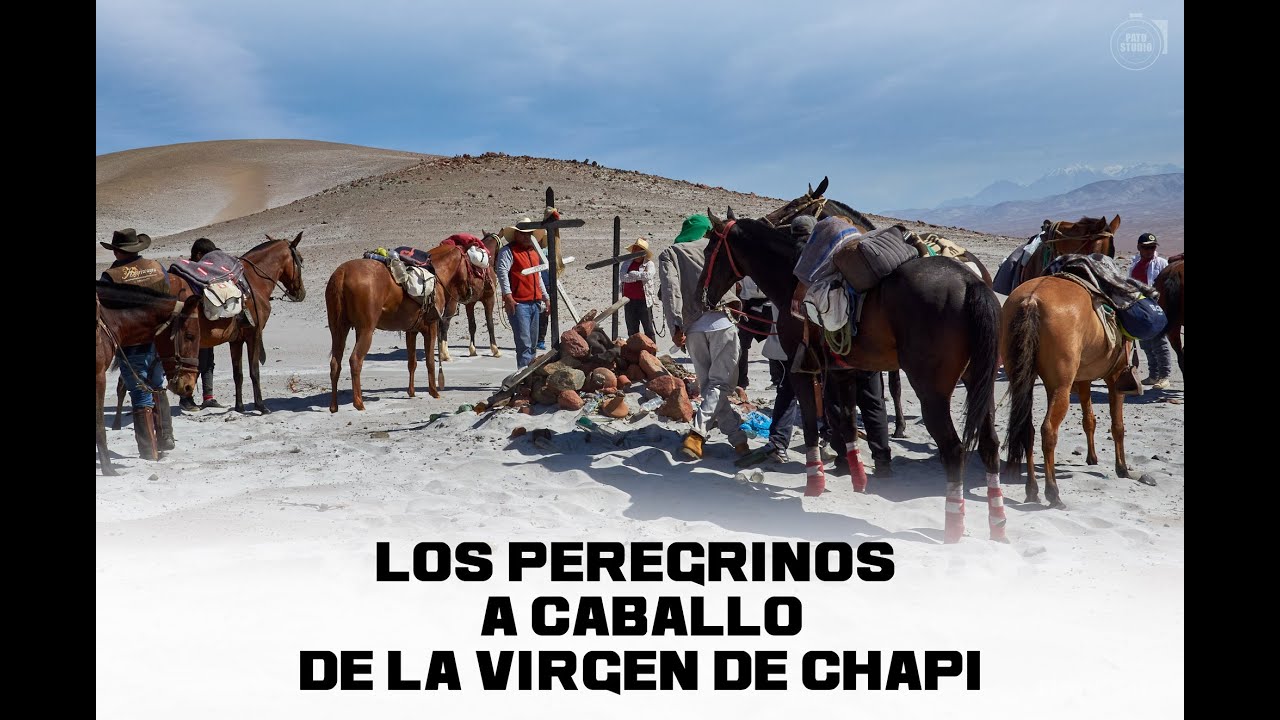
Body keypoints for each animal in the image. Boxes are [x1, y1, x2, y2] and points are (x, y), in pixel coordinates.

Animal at [325, 241, 471, 411]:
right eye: (470, 264)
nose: (469, 291)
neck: (436, 275)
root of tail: (342, 274)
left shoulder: (411, 331)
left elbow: (412, 363)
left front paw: (411, 392)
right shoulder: (432, 327)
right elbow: (429, 362)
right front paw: (434, 392)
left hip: (338, 329)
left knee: (335, 364)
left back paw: (334, 406)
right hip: (366, 330)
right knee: (355, 360)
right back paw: (359, 403)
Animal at [438, 231, 502, 361]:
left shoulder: (470, 303)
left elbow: (472, 325)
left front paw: (473, 350)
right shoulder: (489, 299)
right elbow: (490, 324)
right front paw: (495, 349)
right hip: (452, 301)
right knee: (444, 322)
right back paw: (445, 354)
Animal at [699, 210, 1005, 543]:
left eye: (708, 250)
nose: (703, 295)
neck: (791, 278)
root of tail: (970, 282)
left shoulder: (801, 369)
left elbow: (810, 423)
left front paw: (815, 482)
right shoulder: (842, 371)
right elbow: (845, 421)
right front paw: (857, 477)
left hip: (931, 391)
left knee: (953, 451)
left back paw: (954, 527)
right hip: (979, 384)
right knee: (989, 446)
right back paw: (998, 524)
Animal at [999, 216, 1131, 510]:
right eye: (1110, 250)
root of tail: (1031, 300)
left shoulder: (1082, 379)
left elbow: (1089, 418)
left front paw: (1093, 457)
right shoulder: (1115, 376)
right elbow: (1117, 426)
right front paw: (1122, 467)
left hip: (1023, 378)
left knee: (1027, 428)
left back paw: (1032, 490)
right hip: (1060, 385)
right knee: (1048, 430)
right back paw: (1052, 492)